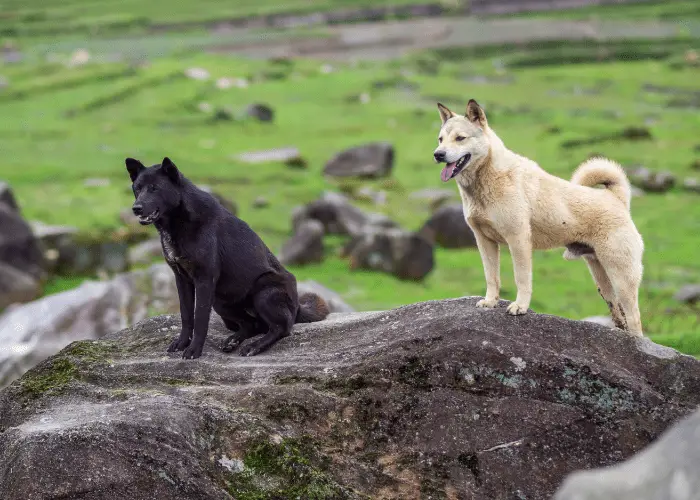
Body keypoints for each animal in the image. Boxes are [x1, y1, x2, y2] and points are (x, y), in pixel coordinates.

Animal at [125, 158, 330, 358]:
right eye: (137, 188)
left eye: (155, 188)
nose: (136, 208)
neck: (180, 221)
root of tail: (298, 306)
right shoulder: (182, 280)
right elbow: (186, 316)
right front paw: (182, 343)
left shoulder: (205, 279)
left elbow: (200, 319)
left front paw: (194, 350)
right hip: (220, 302)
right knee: (253, 325)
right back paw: (234, 340)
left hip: (263, 292)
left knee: (281, 328)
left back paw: (254, 346)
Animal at [432, 98, 644, 336]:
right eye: (441, 139)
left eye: (460, 138)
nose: (438, 154)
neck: (488, 178)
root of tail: (616, 199)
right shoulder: (484, 241)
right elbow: (491, 276)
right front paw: (490, 302)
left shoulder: (518, 239)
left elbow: (521, 278)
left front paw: (520, 307)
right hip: (601, 275)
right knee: (618, 312)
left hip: (621, 276)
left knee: (634, 318)